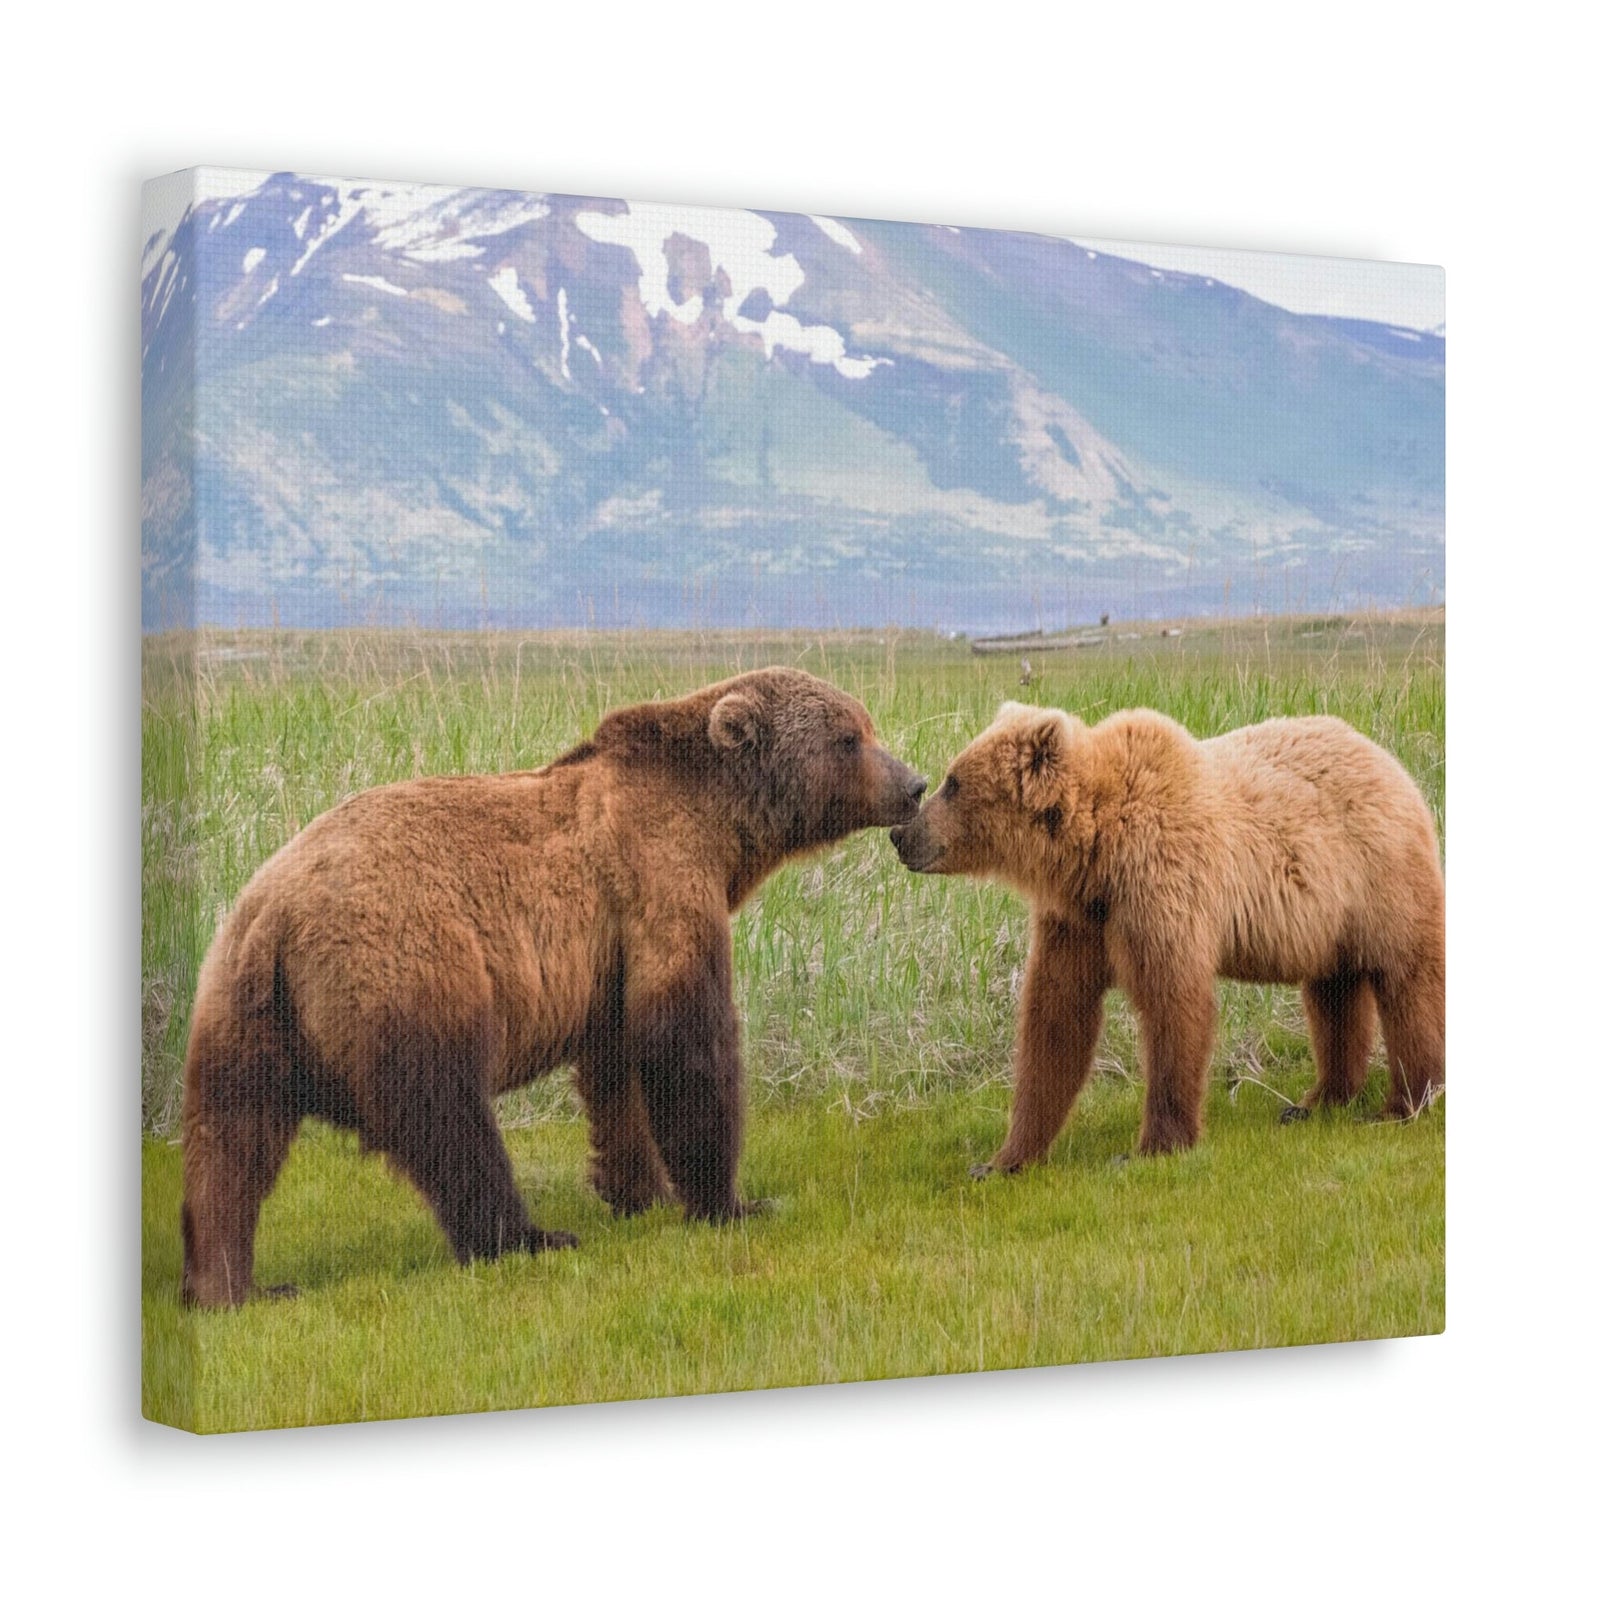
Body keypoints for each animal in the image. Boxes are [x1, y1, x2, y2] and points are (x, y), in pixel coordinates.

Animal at [180, 667, 926, 1307]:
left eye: (866, 724)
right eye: (849, 737)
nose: (914, 783)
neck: (719, 826)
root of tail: (276, 914)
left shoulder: (608, 957)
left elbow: (617, 1069)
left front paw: (640, 1189)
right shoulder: (659, 882)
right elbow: (686, 1041)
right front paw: (732, 1200)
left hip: (242, 1010)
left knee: (231, 1142)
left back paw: (232, 1285)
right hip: (403, 969)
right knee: (446, 1115)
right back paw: (527, 1237)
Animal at [889, 702, 1443, 1167]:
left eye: (953, 781)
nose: (901, 834)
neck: (1095, 850)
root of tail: (1390, 761)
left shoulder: (1160, 884)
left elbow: (1173, 1003)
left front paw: (1155, 1144)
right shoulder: (1081, 920)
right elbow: (1056, 1018)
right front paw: (1005, 1158)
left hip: (1380, 876)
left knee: (1409, 980)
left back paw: (1407, 1101)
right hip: (1327, 918)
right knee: (1334, 992)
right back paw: (1319, 1099)